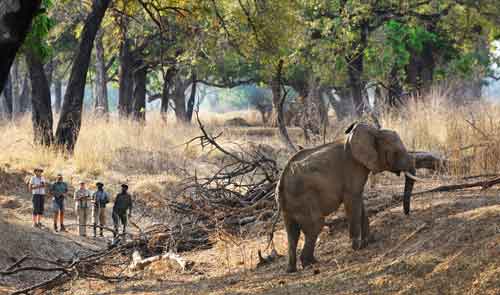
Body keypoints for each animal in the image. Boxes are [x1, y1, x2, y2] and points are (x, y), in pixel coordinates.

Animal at [276, 122, 420, 272]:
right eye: (396, 152)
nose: (407, 213)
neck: (374, 132)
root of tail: (281, 182)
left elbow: (359, 200)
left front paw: (369, 241)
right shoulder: (353, 167)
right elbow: (353, 199)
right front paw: (357, 247)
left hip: (289, 205)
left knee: (292, 233)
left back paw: (292, 269)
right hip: (303, 198)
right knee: (315, 225)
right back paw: (310, 263)